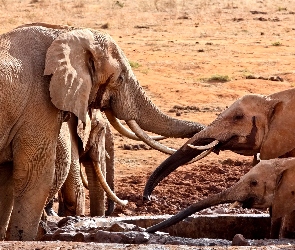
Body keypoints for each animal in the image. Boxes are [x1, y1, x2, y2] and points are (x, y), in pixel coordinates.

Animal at [0, 23, 206, 240]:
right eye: (121, 78)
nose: (148, 199)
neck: (63, 32)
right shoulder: (38, 104)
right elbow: (35, 179)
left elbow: (5, 181)